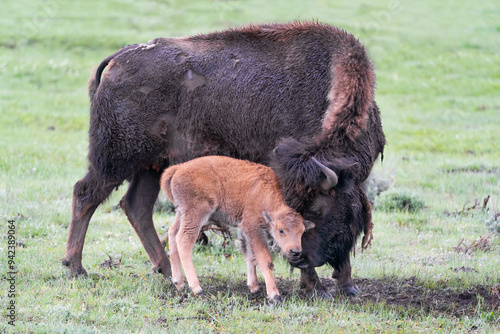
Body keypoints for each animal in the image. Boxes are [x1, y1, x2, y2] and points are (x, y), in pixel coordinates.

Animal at [161, 155, 312, 302]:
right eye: (281, 230)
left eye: (302, 231)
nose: (295, 251)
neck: (265, 193)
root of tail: (178, 168)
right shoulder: (254, 229)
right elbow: (265, 260)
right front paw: (275, 295)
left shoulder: (245, 230)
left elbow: (250, 256)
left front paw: (254, 288)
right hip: (196, 214)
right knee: (183, 240)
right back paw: (197, 288)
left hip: (181, 213)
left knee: (172, 233)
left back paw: (179, 283)